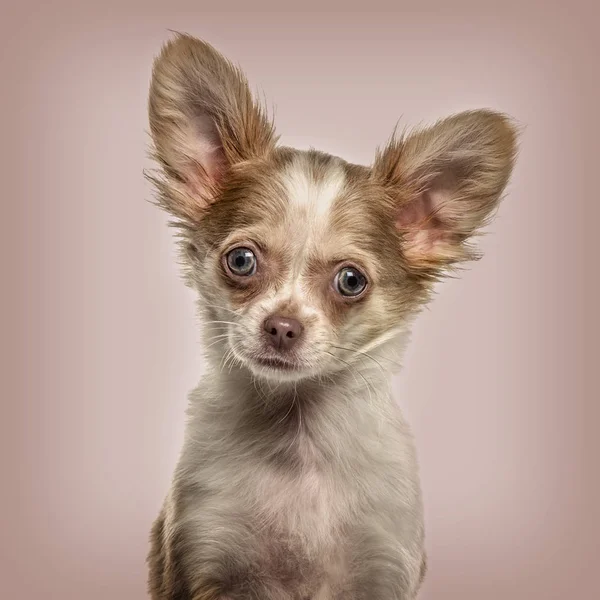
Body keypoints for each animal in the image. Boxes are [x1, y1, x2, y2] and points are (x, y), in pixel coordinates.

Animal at [144, 34, 516, 600]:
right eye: (241, 260)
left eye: (351, 281)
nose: (282, 327)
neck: (297, 445)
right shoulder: (203, 555)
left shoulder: (384, 567)